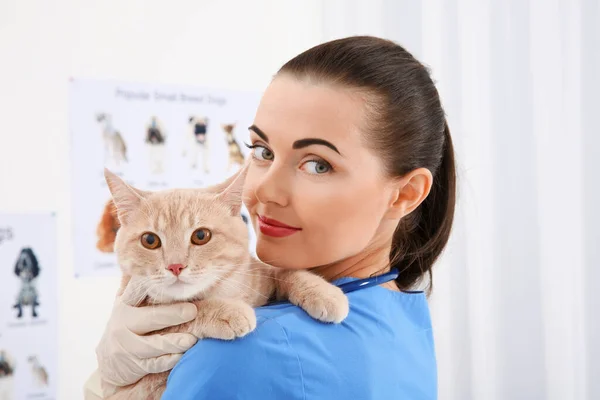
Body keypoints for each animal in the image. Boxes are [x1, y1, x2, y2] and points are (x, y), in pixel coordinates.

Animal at [102, 164, 346, 398]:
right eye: (150, 240)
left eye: (201, 236)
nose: (175, 266)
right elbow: (186, 313)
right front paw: (227, 312)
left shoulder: (260, 275)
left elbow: (283, 271)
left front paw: (325, 294)